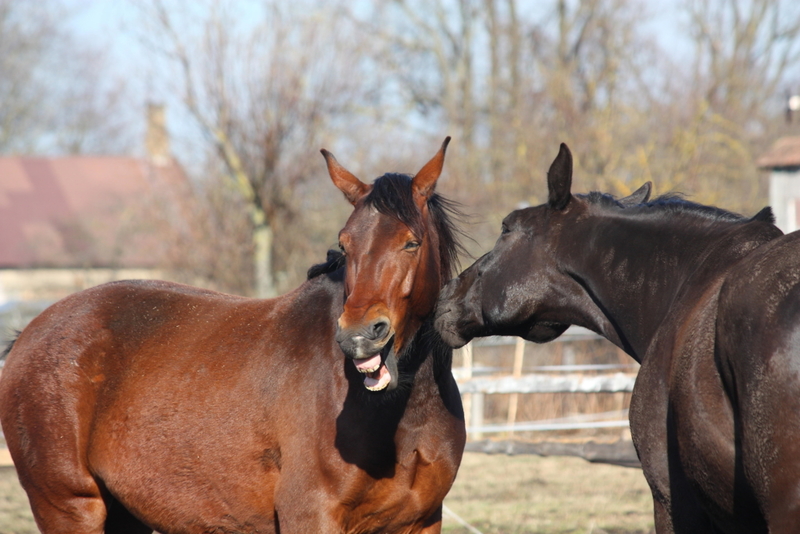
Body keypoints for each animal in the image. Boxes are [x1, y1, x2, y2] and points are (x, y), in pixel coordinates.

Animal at [0, 139, 466, 534]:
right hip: (70, 506)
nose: (359, 337)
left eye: (411, 242)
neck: (400, 412)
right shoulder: (310, 514)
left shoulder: (421, 521)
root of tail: (28, 335)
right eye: (345, 244)